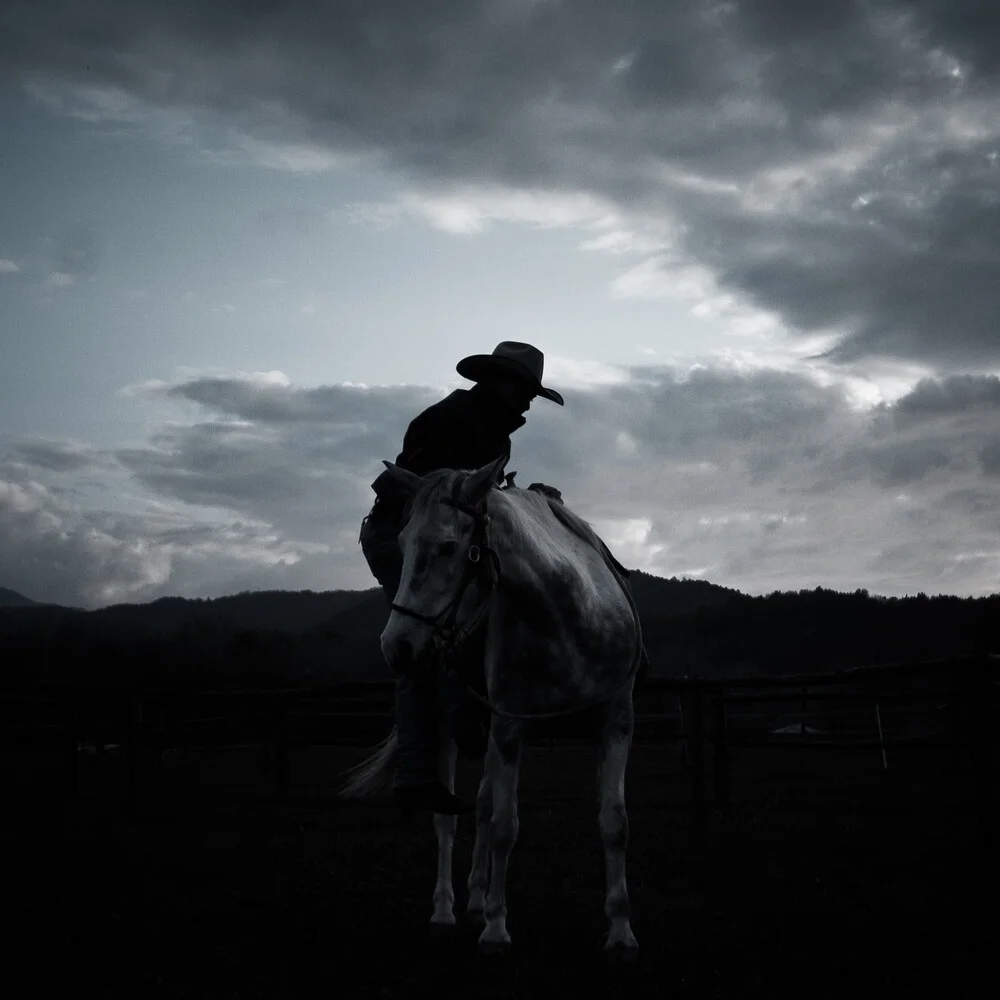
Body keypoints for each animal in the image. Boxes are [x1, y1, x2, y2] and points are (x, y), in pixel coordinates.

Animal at [340, 456, 644, 960]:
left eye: (448, 546)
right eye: (402, 543)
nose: (396, 646)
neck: (570, 615)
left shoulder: (615, 725)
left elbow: (614, 823)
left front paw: (620, 931)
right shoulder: (509, 729)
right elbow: (505, 826)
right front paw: (497, 930)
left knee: (480, 805)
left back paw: (479, 897)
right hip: (450, 731)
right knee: (447, 818)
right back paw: (445, 911)